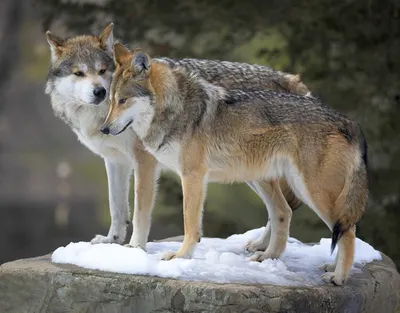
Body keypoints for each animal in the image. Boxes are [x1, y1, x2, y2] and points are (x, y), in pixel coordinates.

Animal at [102, 44, 368, 286]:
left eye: (123, 100)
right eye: (111, 101)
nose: (104, 129)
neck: (175, 109)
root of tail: (348, 121)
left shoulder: (192, 175)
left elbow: (189, 223)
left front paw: (181, 256)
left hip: (311, 191)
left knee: (347, 231)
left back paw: (338, 276)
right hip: (266, 180)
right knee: (286, 213)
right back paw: (271, 257)